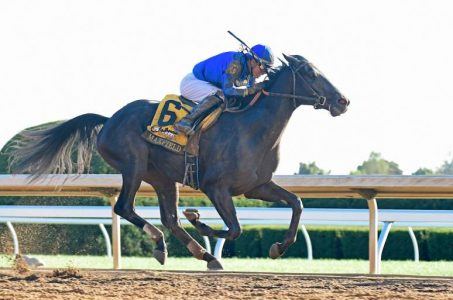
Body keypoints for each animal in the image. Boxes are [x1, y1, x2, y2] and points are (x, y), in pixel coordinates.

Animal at [10, 54, 350, 270]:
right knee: (124, 207)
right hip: (134, 165)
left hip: (162, 177)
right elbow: (234, 229)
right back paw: (162, 242)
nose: (342, 101)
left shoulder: (257, 186)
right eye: (310, 73)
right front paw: (198, 219)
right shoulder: (216, 187)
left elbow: (296, 204)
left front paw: (278, 247)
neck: (252, 128)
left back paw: (200, 255)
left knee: (169, 219)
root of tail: (108, 120)